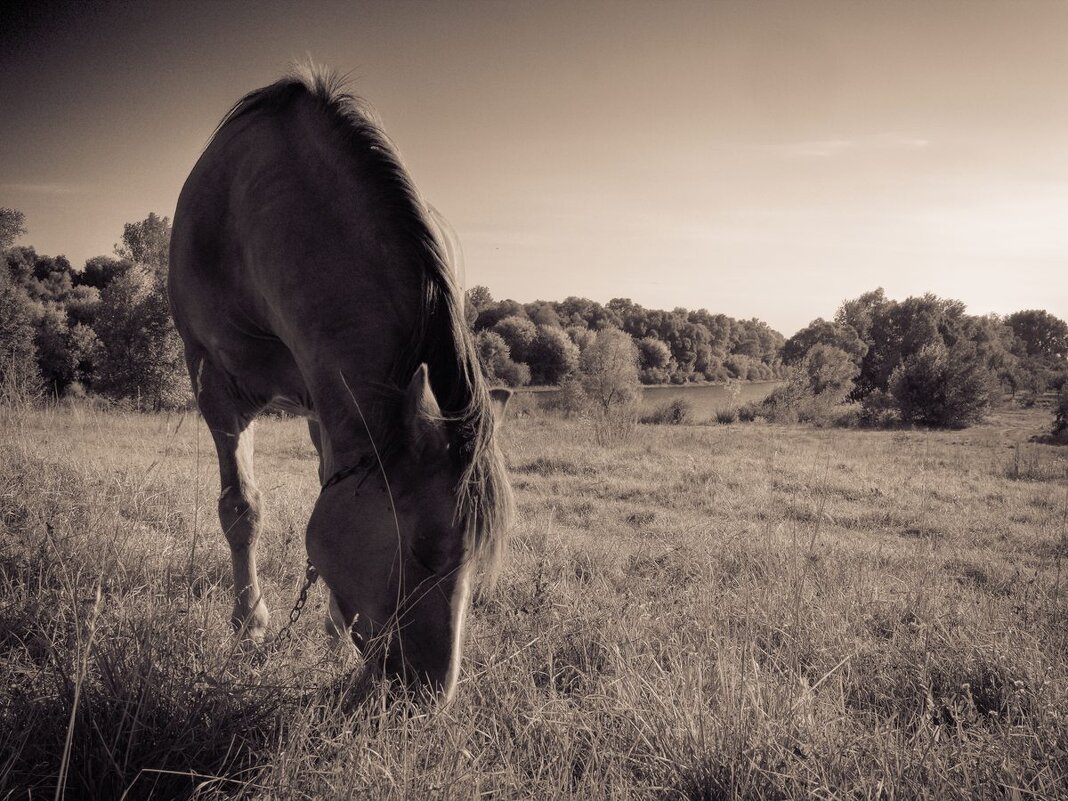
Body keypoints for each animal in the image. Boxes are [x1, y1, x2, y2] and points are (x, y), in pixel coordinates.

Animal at [166, 65, 512, 700]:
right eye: (424, 549)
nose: (431, 695)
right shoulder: (218, 389)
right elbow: (241, 507)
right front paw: (249, 628)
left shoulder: (329, 400)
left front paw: (330, 634)